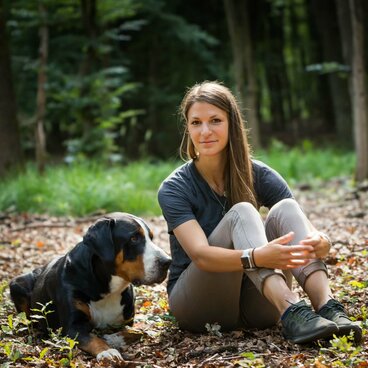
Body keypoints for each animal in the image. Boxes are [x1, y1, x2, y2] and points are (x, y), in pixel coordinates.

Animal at [9, 211, 171, 360]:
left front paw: (113, 338)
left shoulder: (128, 321)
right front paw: (107, 351)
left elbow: (137, 331)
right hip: (17, 283)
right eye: (134, 238)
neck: (107, 289)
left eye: (151, 238)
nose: (167, 261)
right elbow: (92, 338)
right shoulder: (72, 327)